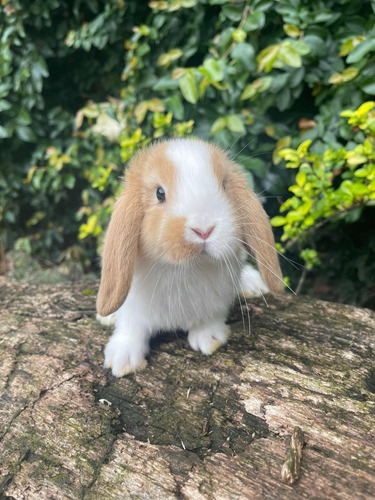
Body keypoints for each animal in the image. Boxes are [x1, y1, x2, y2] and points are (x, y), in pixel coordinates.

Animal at [95, 139, 284, 376]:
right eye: (159, 193)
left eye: (224, 185)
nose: (204, 229)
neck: (186, 270)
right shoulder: (133, 308)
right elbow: (131, 328)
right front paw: (123, 360)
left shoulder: (219, 298)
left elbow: (212, 317)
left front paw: (209, 338)